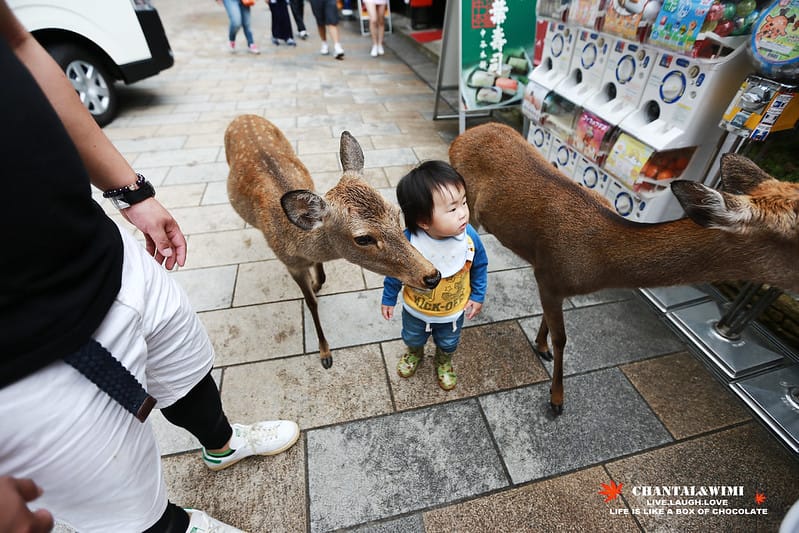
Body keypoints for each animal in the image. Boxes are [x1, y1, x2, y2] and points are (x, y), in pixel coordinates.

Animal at [226, 114, 441, 369]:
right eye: (363, 238)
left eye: (396, 212)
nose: (432, 276)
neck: (297, 244)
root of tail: (242, 116)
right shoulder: (290, 264)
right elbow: (311, 302)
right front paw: (325, 352)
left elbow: (321, 278)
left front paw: (317, 283)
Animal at [449, 121, 799, 416]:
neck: (597, 261)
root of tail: (462, 136)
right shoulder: (549, 274)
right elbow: (563, 338)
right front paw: (557, 399)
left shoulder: (548, 277)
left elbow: (551, 323)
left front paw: (541, 346)